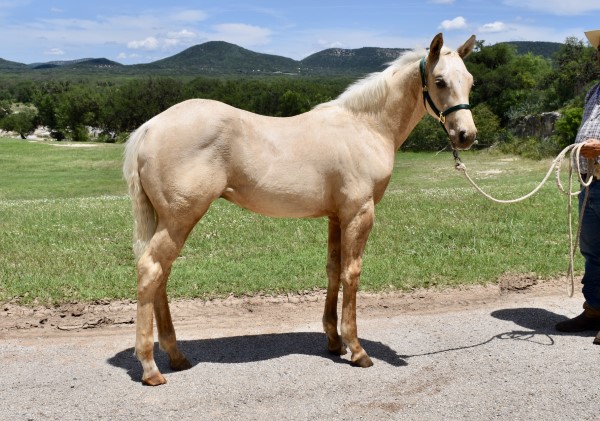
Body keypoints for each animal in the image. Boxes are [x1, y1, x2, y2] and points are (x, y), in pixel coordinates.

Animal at [122, 32, 478, 384]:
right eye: (440, 81)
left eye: (470, 81)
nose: (466, 135)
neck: (365, 127)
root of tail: (150, 127)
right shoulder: (359, 214)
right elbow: (351, 273)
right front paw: (357, 349)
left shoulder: (336, 216)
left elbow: (333, 270)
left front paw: (334, 341)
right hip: (179, 219)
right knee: (151, 270)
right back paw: (151, 367)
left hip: (168, 221)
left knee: (162, 275)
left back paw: (176, 356)